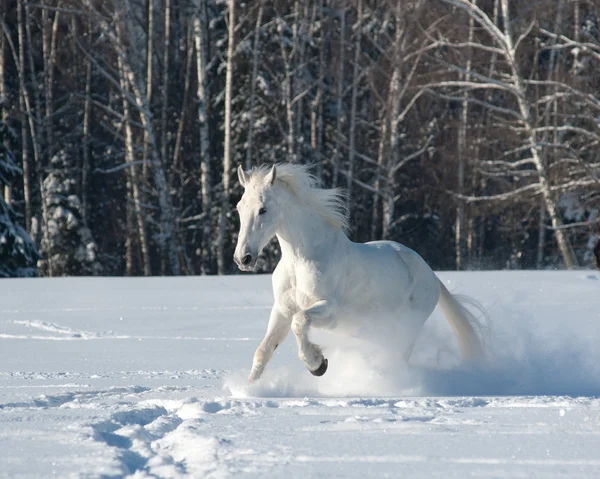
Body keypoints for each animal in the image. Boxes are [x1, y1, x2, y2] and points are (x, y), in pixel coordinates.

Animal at [232, 164, 486, 382]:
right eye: (239, 207)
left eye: (263, 209)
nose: (243, 258)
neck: (301, 260)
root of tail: (430, 274)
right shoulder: (282, 309)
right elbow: (264, 349)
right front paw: (248, 389)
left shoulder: (329, 310)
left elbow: (300, 322)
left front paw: (317, 364)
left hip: (407, 325)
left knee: (399, 356)